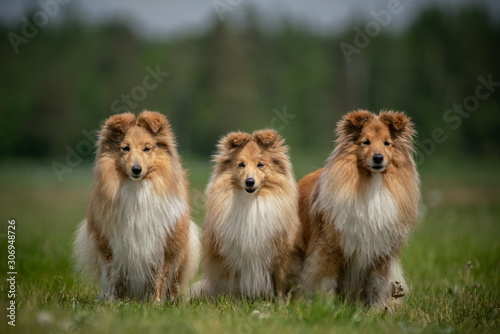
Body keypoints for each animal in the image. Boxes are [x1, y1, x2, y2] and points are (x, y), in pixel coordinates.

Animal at [73, 111, 201, 302]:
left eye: (147, 148)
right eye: (125, 148)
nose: (136, 169)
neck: (137, 190)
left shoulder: (161, 244)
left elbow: (159, 275)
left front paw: (155, 302)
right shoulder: (109, 244)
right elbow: (112, 274)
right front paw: (112, 301)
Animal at [197, 129, 302, 298]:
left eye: (261, 164)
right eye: (241, 165)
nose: (250, 182)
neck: (252, 203)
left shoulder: (280, 253)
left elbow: (280, 281)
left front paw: (281, 302)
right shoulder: (229, 257)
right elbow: (231, 285)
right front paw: (232, 301)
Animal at [298, 110, 420, 308]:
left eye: (387, 143)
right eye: (366, 141)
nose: (378, 158)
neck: (371, 184)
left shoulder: (382, 252)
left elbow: (377, 284)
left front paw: (377, 309)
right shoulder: (329, 248)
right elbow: (325, 280)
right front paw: (327, 307)